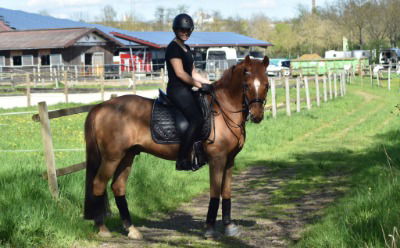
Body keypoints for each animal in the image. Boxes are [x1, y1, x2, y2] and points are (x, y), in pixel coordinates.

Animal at [83, 55, 272, 238]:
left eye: (266, 85)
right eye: (246, 85)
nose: (257, 115)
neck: (223, 110)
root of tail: (101, 107)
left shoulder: (230, 160)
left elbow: (226, 192)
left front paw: (228, 226)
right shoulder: (217, 159)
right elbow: (215, 192)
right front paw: (209, 228)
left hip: (127, 156)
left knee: (118, 187)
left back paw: (131, 229)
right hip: (112, 158)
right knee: (98, 184)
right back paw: (102, 228)